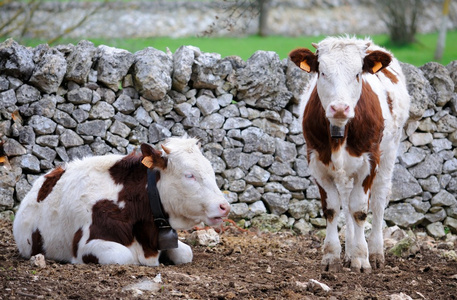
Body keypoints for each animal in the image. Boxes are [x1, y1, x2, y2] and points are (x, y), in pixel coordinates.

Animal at [13, 136, 232, 264]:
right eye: (189, 175)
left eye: (211, 172)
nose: (224, 207)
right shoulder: (84, 245)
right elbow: (123, 256)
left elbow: (186, 253)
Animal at [288, 36, 410, 274]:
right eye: (322, 72)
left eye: (357, 74)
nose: (339, 108)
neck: (340, 129)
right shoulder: (316, 162)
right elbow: (332, 209)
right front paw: (332, 256)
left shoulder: (369, 161)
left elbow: (360, 210)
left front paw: (362, 258)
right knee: (345, 200)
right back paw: (349, 251)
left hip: (389, 153)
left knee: (378, 200)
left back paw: (375, 252)